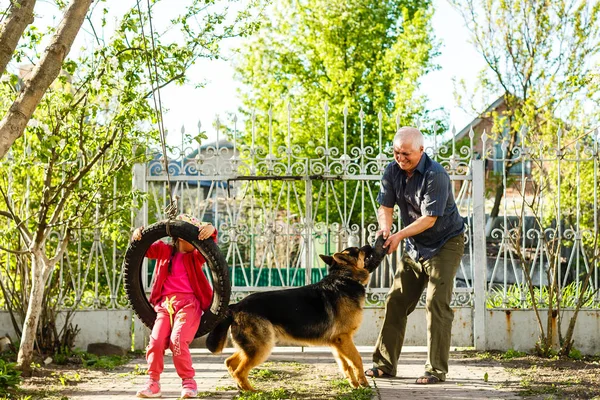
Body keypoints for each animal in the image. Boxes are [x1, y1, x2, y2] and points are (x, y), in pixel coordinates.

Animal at [206, 238, 384, 390]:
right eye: (358, 250)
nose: (370, 244)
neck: (344, 277)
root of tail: (236, 306)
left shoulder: (337, 343)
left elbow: (346, 366)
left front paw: (354, 384)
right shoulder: (344, 339)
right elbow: (357, 360)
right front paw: (363, 382)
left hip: (253, 346)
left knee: (230, 362)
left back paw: (242, 387)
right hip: (261, 347)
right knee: (239, 371)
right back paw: (251, 391)